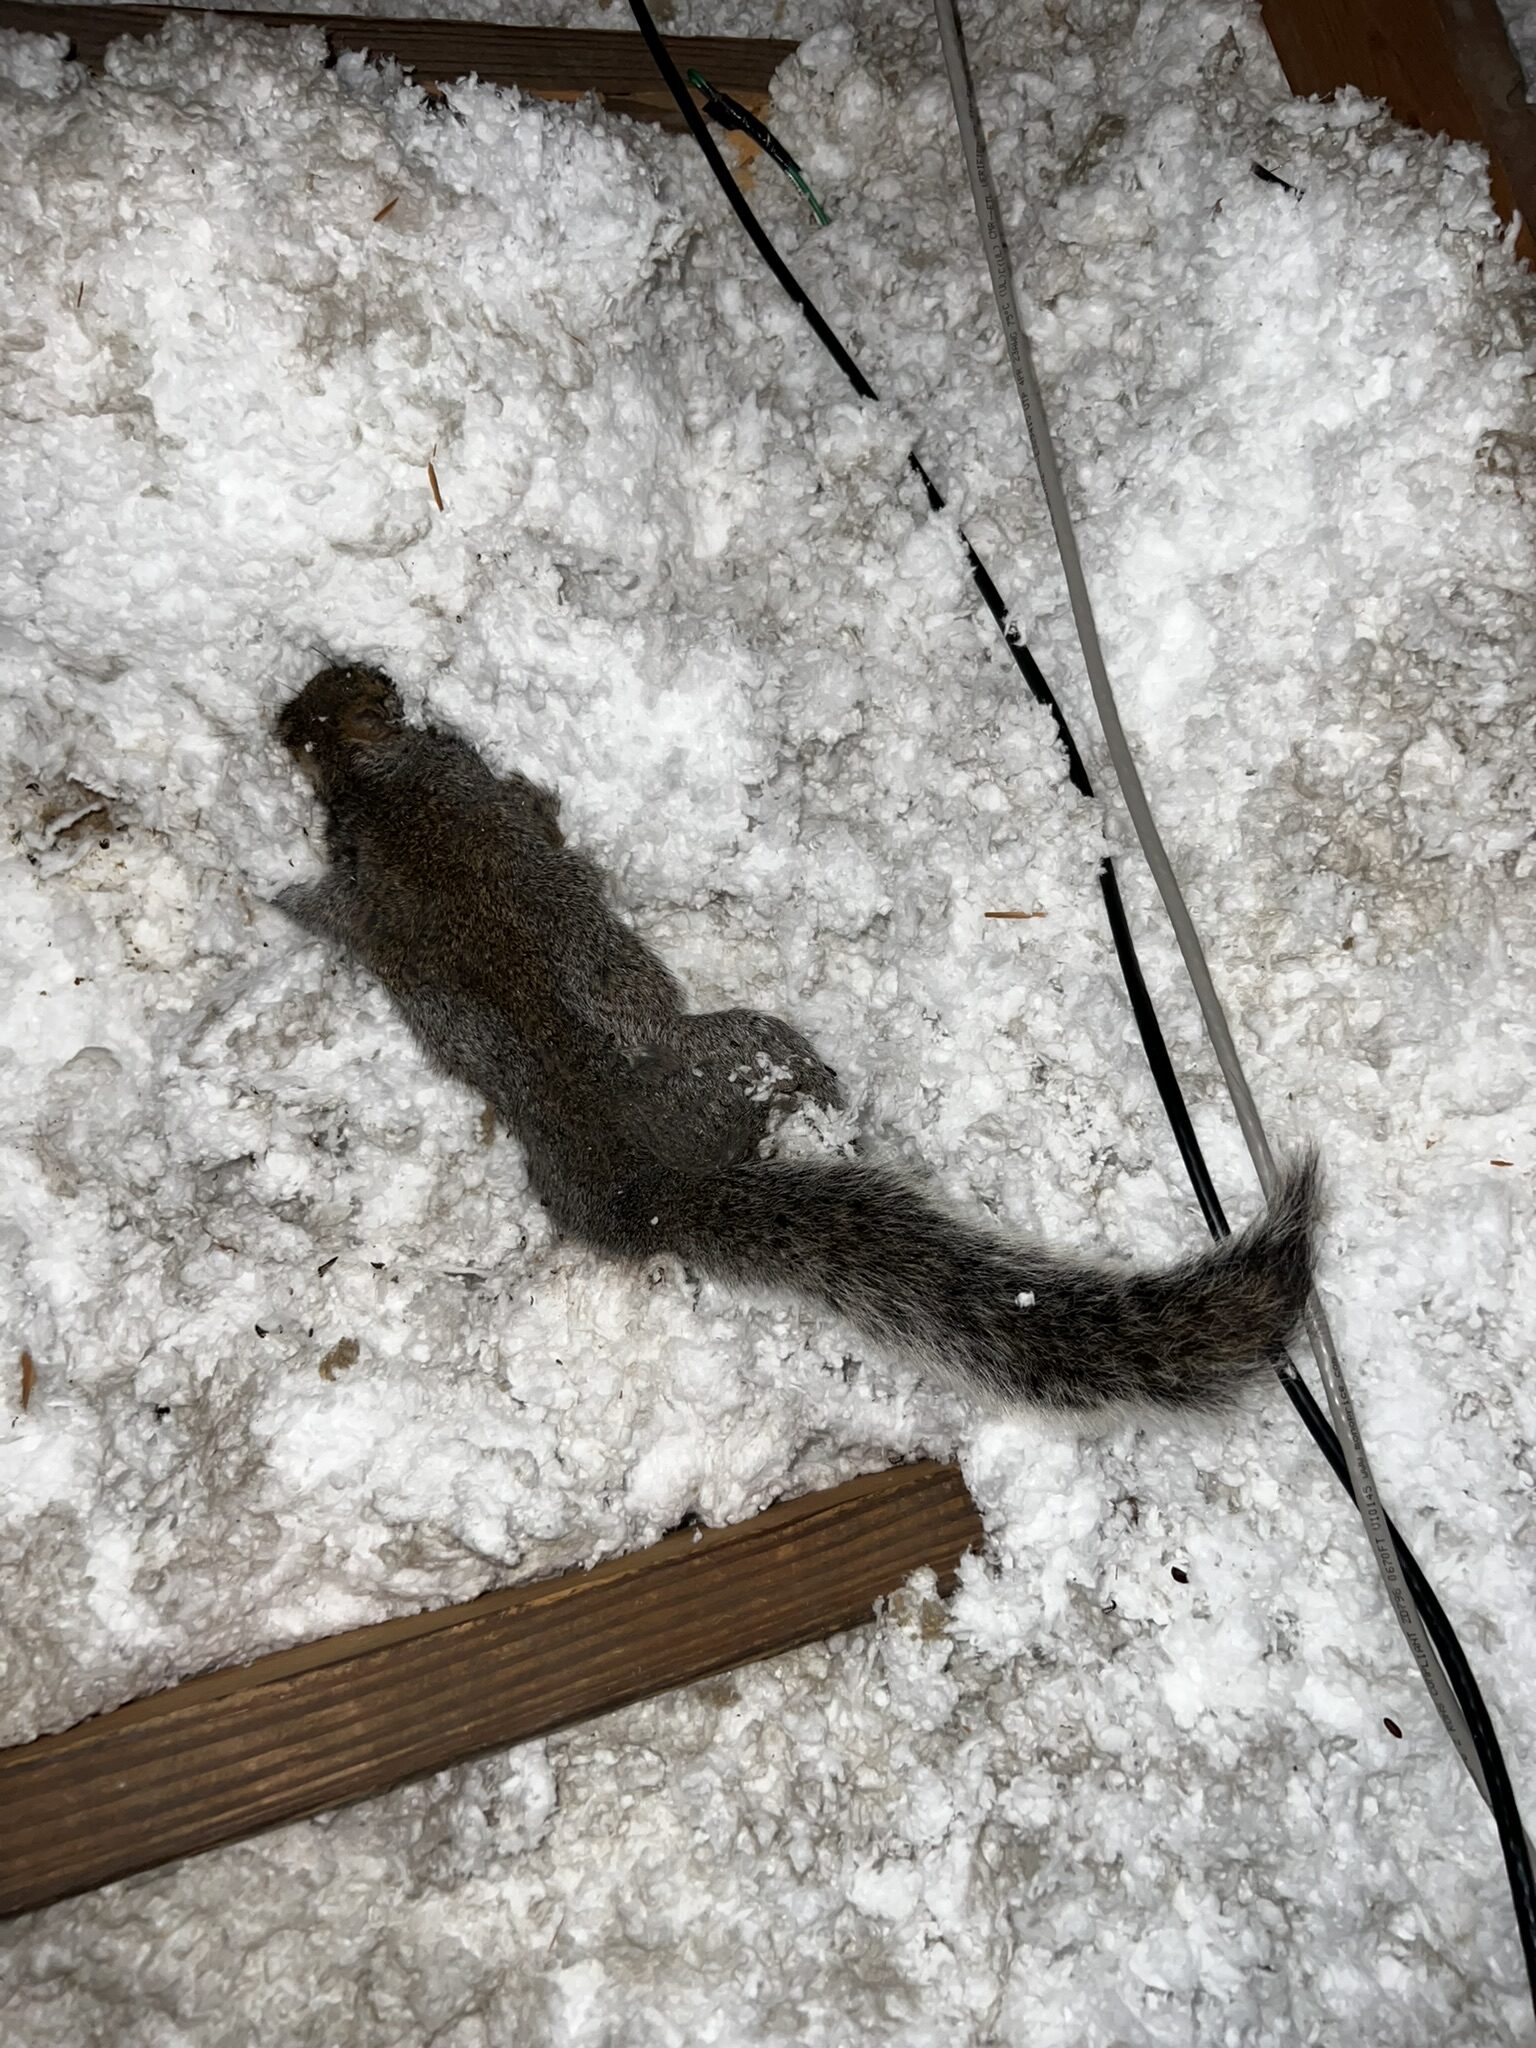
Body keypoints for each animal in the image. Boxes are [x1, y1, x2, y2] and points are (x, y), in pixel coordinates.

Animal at [275, 663, 1317, 1414]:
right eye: (365, 690)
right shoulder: (463, 787)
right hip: (744, 1048)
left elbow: (336, 907)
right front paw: (542, 788)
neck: (369, 791)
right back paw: (832, 1098)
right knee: (787, 1066)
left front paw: (282, 896)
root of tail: (651, 1191)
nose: (313, 692)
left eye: (318, 706)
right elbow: (532, 815)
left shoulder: (367, 884)